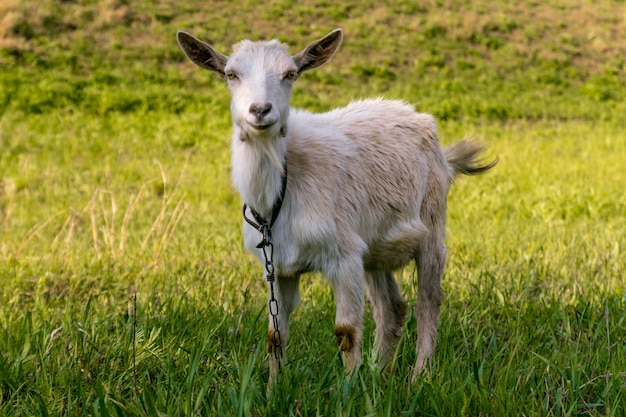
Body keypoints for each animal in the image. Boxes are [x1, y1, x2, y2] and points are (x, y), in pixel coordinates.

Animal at [178, 27, 494, 382]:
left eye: (290, 74)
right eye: (231, 74)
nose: (260, 110)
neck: (282, 189)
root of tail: (421, 119)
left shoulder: (344, 256)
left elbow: (346, 331)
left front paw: (351, 387)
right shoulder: (278, 265)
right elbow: (275, 335)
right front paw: (274, 386)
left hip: (432, 223)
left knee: (428, 300)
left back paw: (419, 375)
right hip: (375, 250)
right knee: (392, 308)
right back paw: (381, 374)